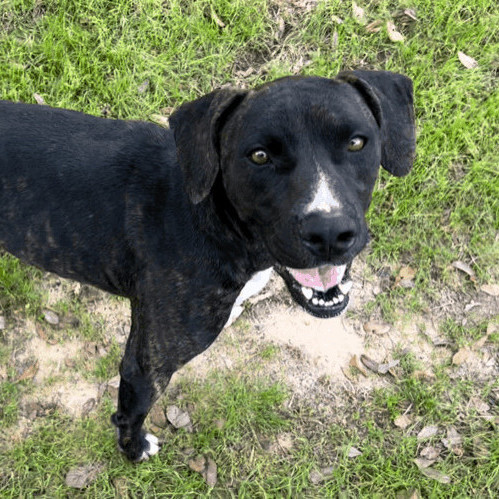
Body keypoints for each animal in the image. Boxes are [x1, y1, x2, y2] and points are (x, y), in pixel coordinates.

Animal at [0, 72, 414, 462]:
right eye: (259, 156)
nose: (328, 232)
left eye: (357, 143)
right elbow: (130, 413)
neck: (214, 219)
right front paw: (134, 449)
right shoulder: (147, 365)